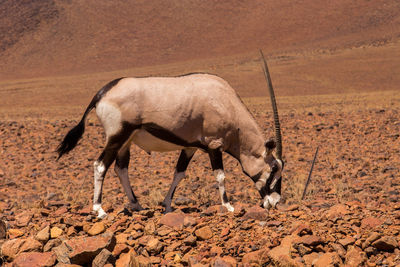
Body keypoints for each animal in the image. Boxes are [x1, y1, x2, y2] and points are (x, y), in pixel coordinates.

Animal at [57, 51, 284, 219]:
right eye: (274, 168)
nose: (274, 202)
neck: (227, 103)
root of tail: (102, 92)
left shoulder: (190, 147)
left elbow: (179, 173)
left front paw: (167, 205)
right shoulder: (214, 145)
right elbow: (220, 175)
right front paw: (228, 206)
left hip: (125, 142)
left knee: (121, 169)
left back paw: (137, 205)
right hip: (117, 137)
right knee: (100, 165)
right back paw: (99, 209)